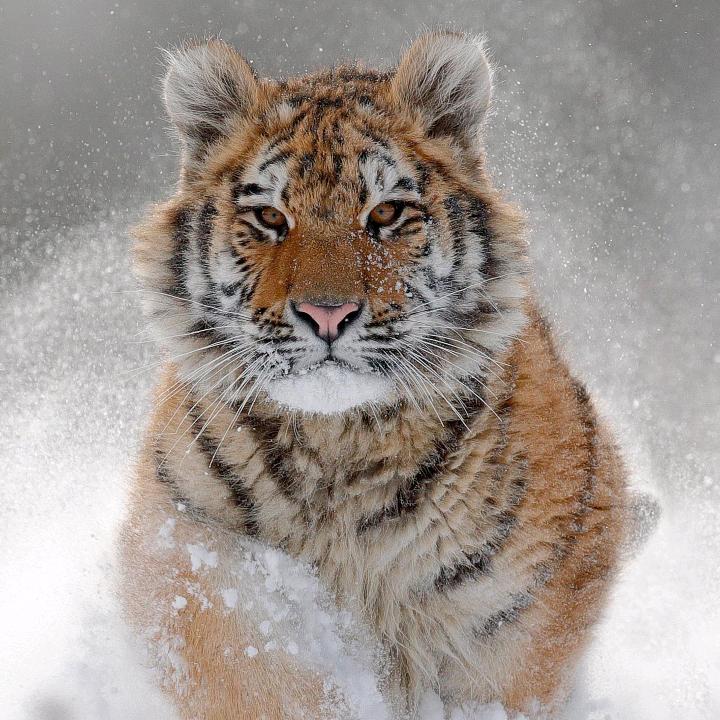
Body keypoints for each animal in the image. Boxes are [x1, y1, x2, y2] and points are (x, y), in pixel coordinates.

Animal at [120, 32, 628, 719]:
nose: (326, 313)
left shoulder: (515, 618)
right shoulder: (185, 545)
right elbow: (250, 667)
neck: (339, 449)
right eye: (271, 218)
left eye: (386, 213)